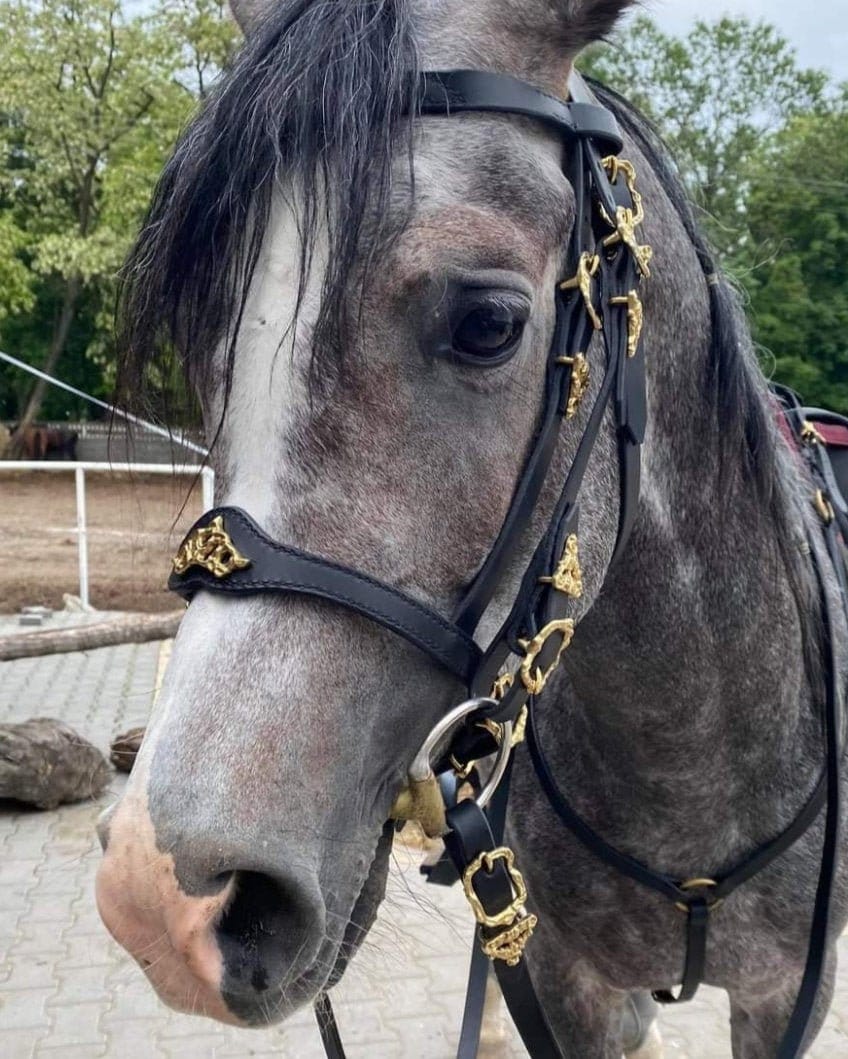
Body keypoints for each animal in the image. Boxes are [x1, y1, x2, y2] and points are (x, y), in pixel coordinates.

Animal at [95, 1, 848, 1055]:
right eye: (207, 335)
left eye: (489, 322)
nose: (160, 896)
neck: (692, 756)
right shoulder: (573, 984)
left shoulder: (787, 996)